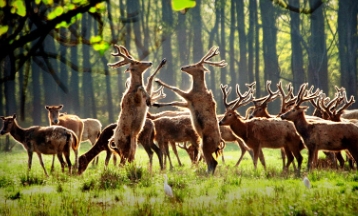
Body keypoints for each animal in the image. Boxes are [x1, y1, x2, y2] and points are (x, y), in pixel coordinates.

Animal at [153, 46, 227, 174]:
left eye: (193, 65)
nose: (183, 67)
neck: (196, 89)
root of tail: (219, 144)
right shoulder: (188, 103)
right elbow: (175, 102)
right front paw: (156, 104)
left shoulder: (190, 97)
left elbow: (175, 89)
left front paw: (158, 81)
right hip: (203, 145)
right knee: (211, 162)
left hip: (205, 145)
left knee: (212, 162)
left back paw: (205, 174)